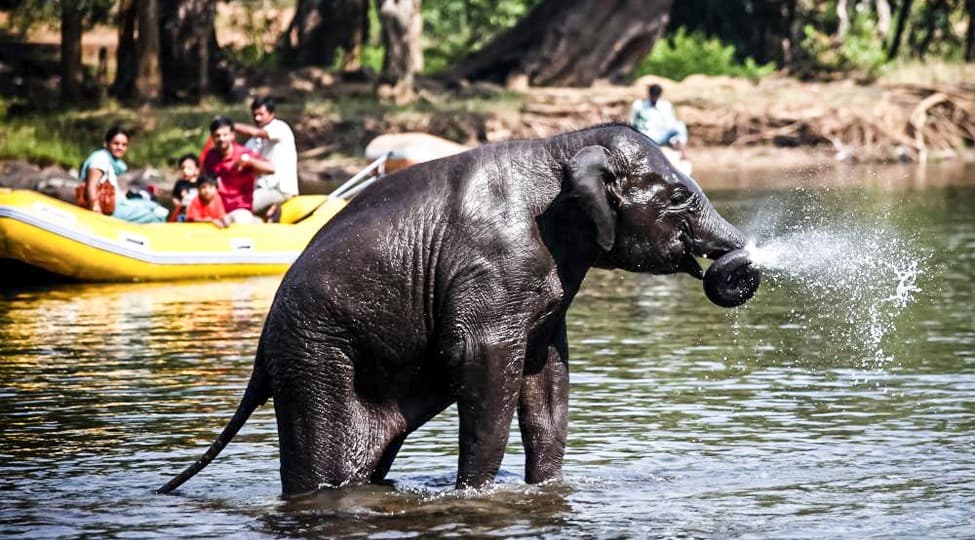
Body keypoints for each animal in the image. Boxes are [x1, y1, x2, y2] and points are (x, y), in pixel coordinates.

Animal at [157, 123, 758, 496]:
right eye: (679, 197)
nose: (732, 269)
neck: (562, 148)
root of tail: (260, 355)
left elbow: (546, 379)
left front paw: (547, 490)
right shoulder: (494, 268)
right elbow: (484, 362)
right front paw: (473, 494)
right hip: (316, 357)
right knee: (324, 462)